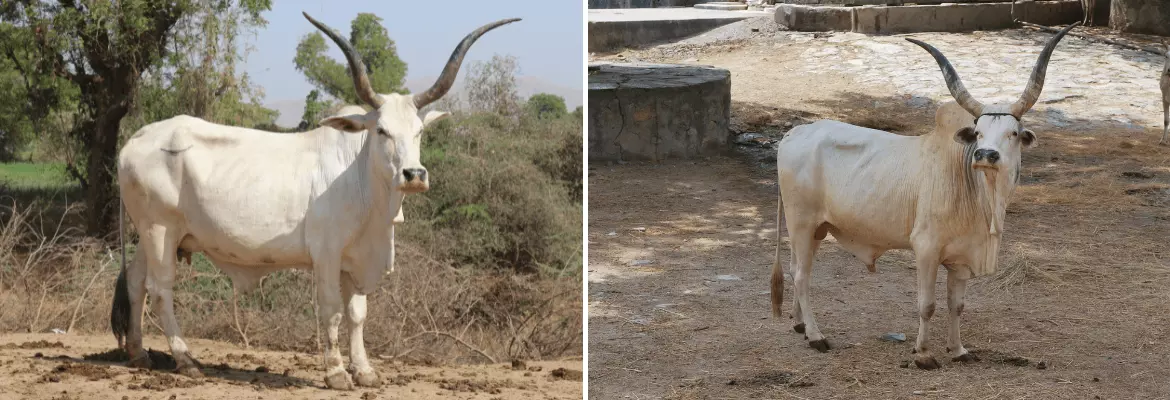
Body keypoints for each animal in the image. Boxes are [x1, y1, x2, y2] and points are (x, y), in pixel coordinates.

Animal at [109, 12, 519, 390]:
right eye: (382, 130)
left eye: (419, 131)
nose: (414, 175)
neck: (363, 186)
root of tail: (136, 139)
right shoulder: (327, 254)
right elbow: (333, 311)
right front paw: (337, 373)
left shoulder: (355, 260)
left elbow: (358, 313)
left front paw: (365, 371)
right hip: (160, 230)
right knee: (160, 289)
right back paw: (186, 360)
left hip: (152, 234)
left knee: (136, 282)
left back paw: (139, 353)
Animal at [769, 23, 1079, 369]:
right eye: (979, 133)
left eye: (1013, 133)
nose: (985, 154)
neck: (979, 196)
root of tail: (795, 132)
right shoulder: (926, 248)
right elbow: (927, 305)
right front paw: (924, 353)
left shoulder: (961, 259)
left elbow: (956, 305)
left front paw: (958, 350)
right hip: (801, 222)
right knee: (801, 275)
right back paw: (815, 335)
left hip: (815, 230)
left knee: (795, 268)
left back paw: (799, 324)